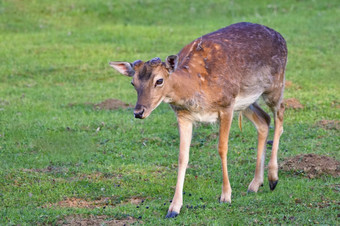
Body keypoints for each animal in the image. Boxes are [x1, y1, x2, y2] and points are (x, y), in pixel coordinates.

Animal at [108, 22, 286, 218]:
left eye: (159, 80)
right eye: (133, 83)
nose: (139, 112)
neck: (195, 85)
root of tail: (281, 37)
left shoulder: (227, 105)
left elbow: (222, 148)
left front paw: (225, 196)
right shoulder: (184, 115)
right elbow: (182, 156)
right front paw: (174, 208)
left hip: (275, 85)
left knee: (280, 115)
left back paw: (273, 178)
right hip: (246, 102)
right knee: (264, 120)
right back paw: (255, 184)